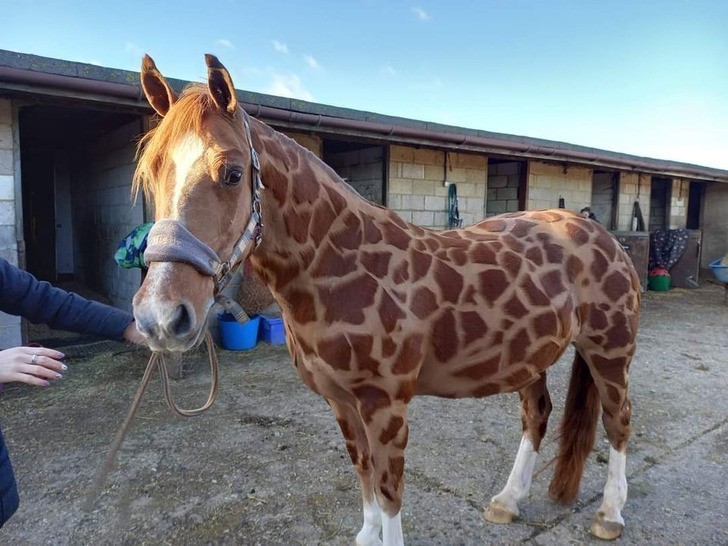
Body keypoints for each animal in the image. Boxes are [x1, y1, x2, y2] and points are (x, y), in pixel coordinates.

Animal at [131, 52, 636, 544]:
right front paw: (367, 532)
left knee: (618, 421)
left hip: (609, 351)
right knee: (538, 415)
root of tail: (597, 232)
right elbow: (364, 472)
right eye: (152, 174)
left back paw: (610, 515)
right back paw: (508, 501)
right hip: (528, 357)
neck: (342, 266)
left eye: (233, 173)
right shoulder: (340, 401)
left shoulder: (385, 404)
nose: (161, 316)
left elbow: (390, 488)